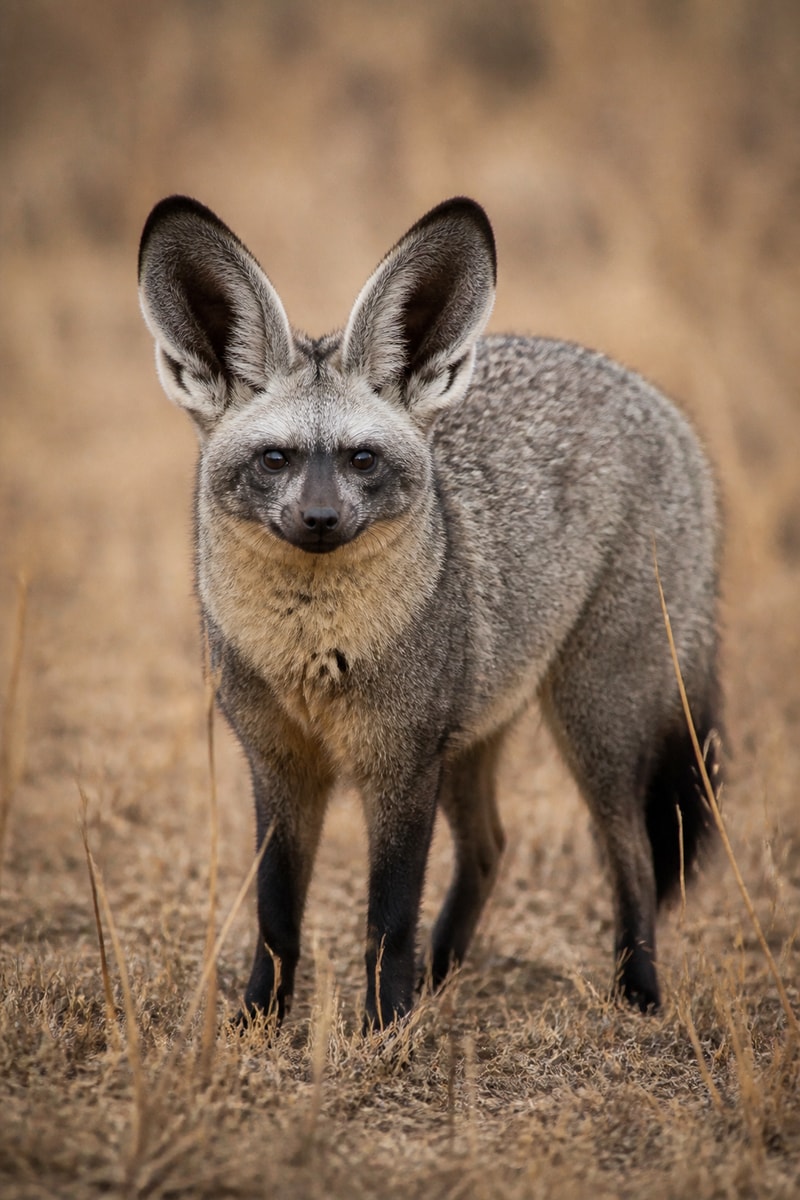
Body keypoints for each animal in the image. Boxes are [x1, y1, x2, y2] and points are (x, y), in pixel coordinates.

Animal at [138, 194, 722, 1029]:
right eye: (276, 459)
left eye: (361, 460)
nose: (319, 519)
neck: (314, 653)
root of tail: (656, 399)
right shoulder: (280, 765)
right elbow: (277, 916)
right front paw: (260, 1021)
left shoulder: (400, 764)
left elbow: (386, 916)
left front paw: (384, 1028)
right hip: (475, 737)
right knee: (491, 847)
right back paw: (440, 972)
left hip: (592, 724)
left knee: (634, 856)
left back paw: (637, 990)